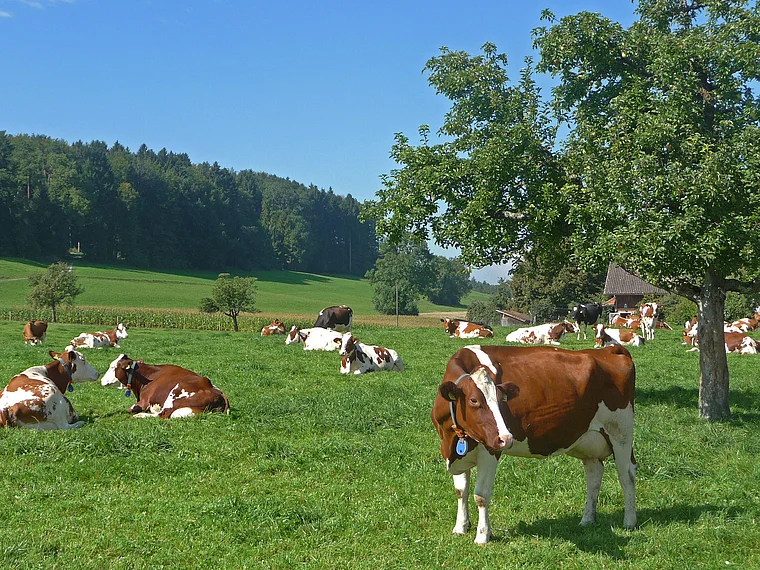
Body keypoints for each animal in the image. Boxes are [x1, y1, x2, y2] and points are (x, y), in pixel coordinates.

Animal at [432, 344, 637, 544]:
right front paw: (460, 527)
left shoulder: (489, 451)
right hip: (588, 442)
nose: (506, 438)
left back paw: (629, 521)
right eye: (474, 400)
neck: (451, 438)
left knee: (626, 475)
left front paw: (482, 535)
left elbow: (481, 495)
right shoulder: (457, 453)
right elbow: (461, 491)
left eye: (501, 400)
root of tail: (609, 349)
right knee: (594, 476)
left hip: (621, 432)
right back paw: (587, 520)